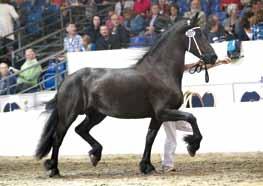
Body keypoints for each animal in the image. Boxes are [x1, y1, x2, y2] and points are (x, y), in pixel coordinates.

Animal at [36, 14, 218, 177]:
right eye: (199, 35)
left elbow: (150, 138)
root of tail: (66, 80)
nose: (213, 57)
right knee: (58, 137)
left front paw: (146, 166)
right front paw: (192, 146)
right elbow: (191, 117)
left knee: (80, 130)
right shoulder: (163, 112)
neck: (161, 71)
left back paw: (95, 154)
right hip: (69, 114)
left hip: (96, 115)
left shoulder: (157, 116)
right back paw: (54, 168)